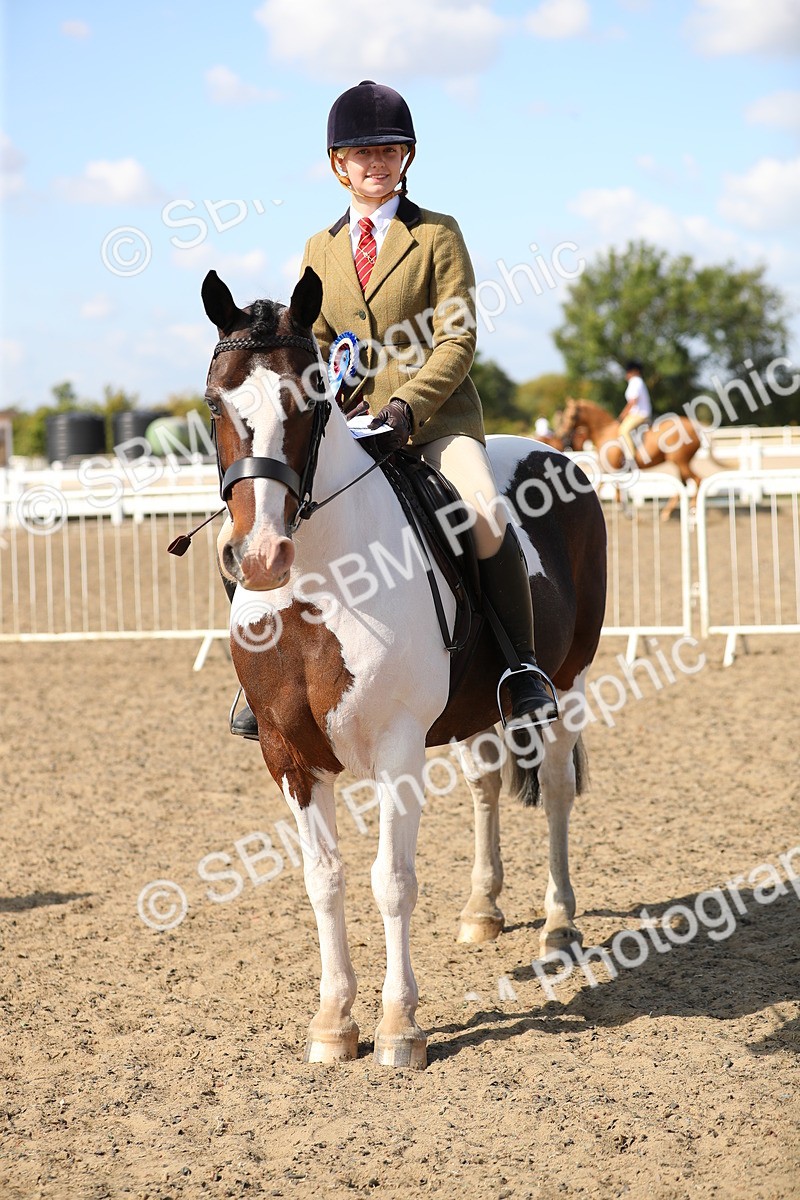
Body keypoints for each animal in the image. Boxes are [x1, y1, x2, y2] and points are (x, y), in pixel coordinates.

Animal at [200, 266, 607, 1069]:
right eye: (214, 402)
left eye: (311, 398)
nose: (257, 557)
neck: (320, 583)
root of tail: (551, 451)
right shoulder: (287, 754)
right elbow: (323, 880)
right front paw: (332, 1022)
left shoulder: (396, 749)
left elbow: (391, 881)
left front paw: (399, 1027)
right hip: (479, 710)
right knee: (486, 785)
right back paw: (482, 909)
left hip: (567, 685)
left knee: (553, 791)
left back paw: (559, 927)